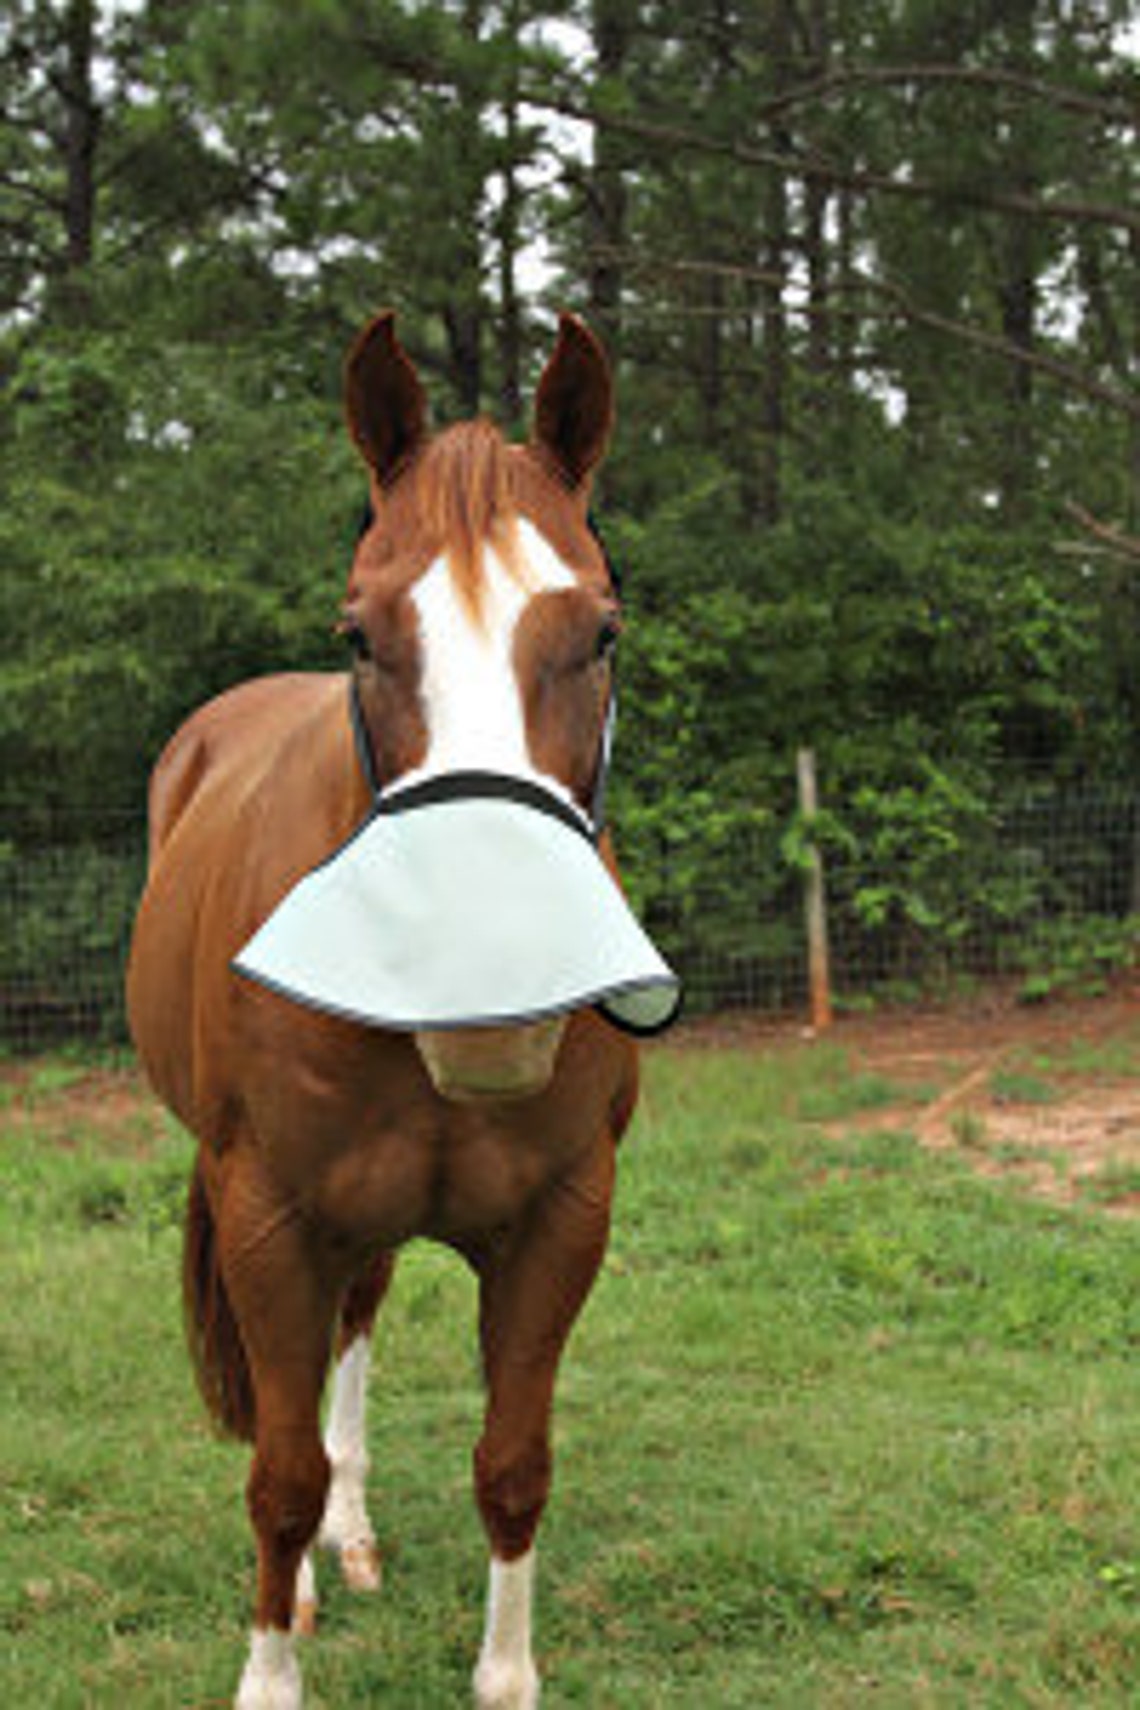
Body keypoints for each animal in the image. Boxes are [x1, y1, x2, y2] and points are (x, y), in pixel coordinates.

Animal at [127, 310, 677, 1709]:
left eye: (602, 633)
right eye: (361, 634)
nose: (491, 993)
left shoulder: (560, 1222)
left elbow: (513, 1469)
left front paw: (506, 1677)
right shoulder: (269, 1214)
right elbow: (274, 1475)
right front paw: (270, 1674)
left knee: (360, 1319)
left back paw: (356, 1533)